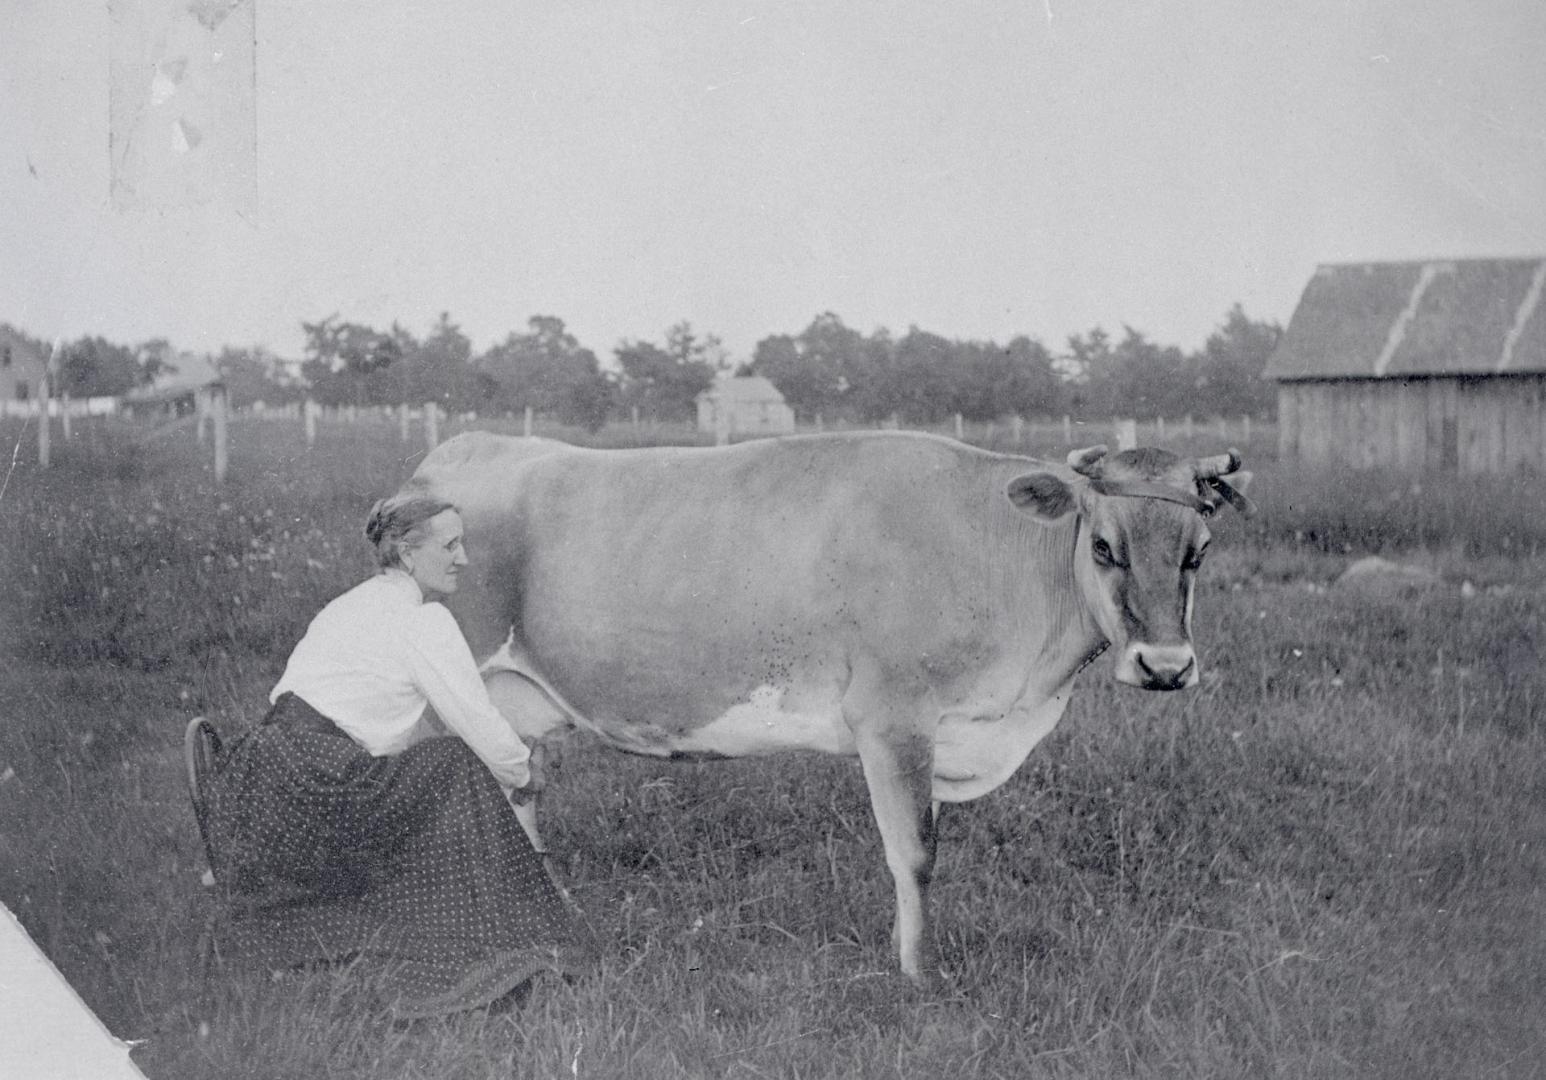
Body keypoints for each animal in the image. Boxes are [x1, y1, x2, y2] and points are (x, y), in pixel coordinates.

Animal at [405, 429, 1249, 988]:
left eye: (1199, 551)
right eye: (1104, 546)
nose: (1165, 667)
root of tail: (462, 448)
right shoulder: (894, 719)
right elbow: (915, 853)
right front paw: (918, 976)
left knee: (516, 797)